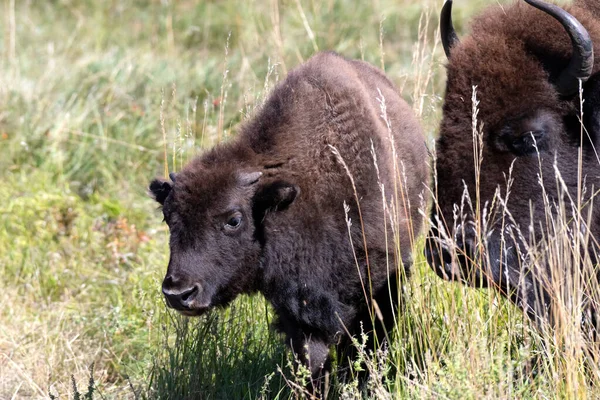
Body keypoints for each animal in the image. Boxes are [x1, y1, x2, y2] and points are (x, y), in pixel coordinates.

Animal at [151, 51, 432, 390]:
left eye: (234, 219)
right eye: (168, 217)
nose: (178, 293)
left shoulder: (382, 279)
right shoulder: (296, 306)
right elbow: (311, 357)